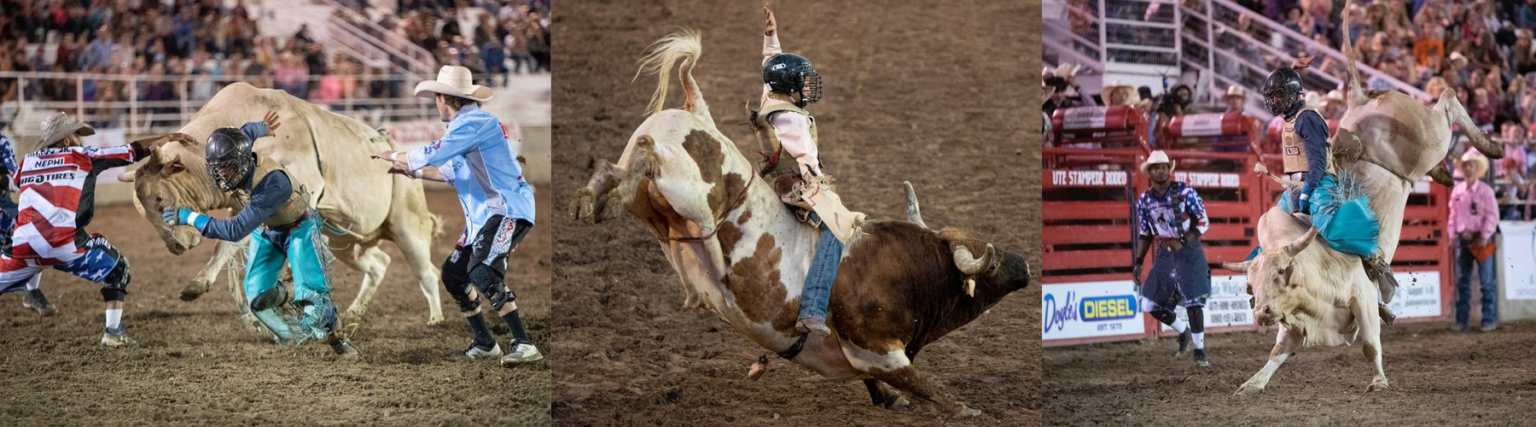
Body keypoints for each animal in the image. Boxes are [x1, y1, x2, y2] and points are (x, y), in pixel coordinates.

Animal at [119, 83, 445, 327]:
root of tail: (387, 141)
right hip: (345, 239)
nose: (176, 246)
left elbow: (232, 241)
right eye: (143, 211)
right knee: (378, 264)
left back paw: (436, 318)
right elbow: (227, 241)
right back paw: (355, 310)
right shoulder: (240, 205)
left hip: (406, 223)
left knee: (426, 271)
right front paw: (200, 285)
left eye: (159, 198)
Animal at [568, 30, 1032, 417]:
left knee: (615, 169)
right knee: (649, 154)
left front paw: (891, 399)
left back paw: (592, 200)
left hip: (653, 200)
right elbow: (922, 383)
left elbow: (885, 386)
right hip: (687, 191)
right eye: (990, 263)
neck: (912, 271)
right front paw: (966, 409)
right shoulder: (879, 351)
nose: (1024, 265)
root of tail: (692, 114)